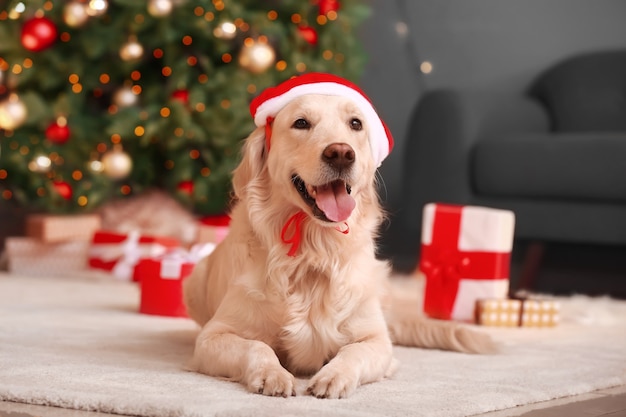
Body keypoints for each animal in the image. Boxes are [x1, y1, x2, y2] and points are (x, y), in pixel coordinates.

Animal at [183, 73, 494, 398]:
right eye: (301, 123)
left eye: (355, 123)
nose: (341, 153)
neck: (314, 250)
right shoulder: (213, 336)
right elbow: (257, 346)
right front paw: (273, 374)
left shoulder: (377, 341)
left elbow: (353, 351)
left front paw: (334, 376)